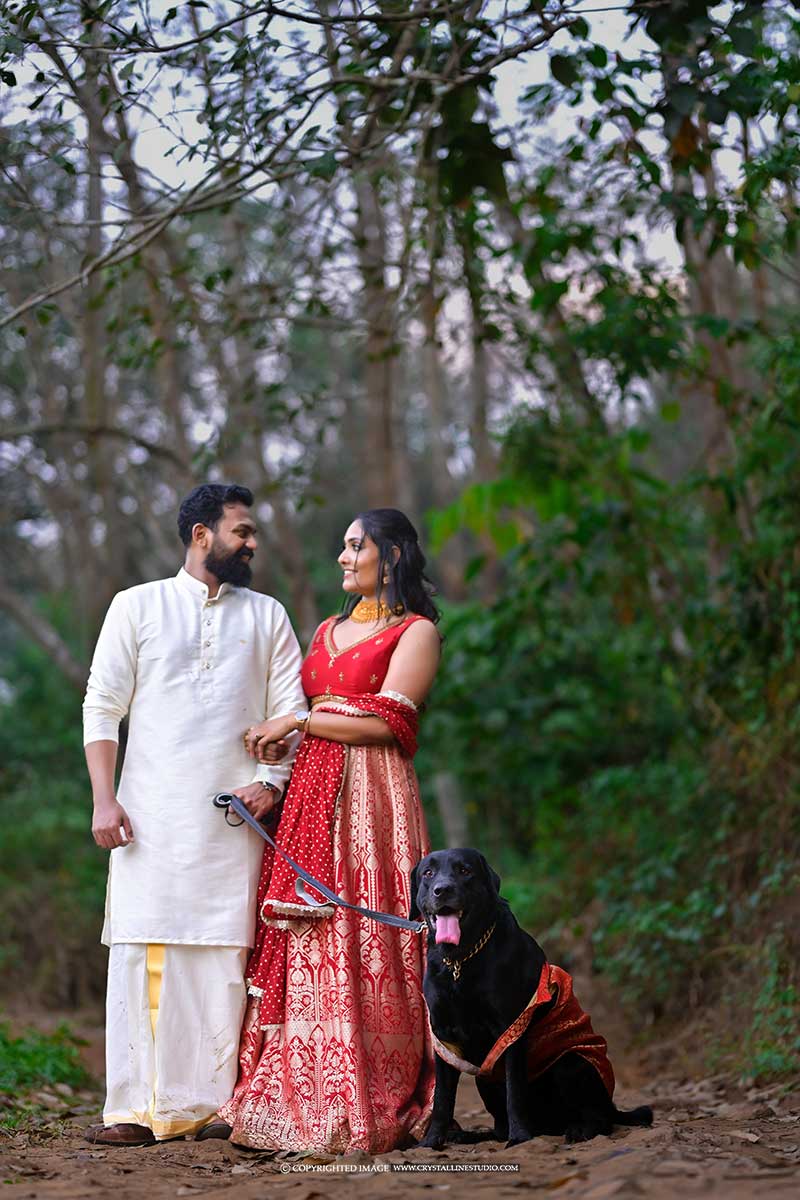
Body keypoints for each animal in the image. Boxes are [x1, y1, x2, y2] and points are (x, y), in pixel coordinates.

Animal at [410, 849, 652, 1147]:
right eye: (428, 873)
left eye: (465, 870)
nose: (442, 889)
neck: (460, 959)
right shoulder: (444, 1036)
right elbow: (443, 1098)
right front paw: (431, 1141)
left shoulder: (511, 1028)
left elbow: (515, 1092)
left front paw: (520, 1137)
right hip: (485, 1079)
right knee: (499, 1126)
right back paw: (470, 1135)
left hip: (571, 1063)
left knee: (600, 1117)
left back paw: (578, 1130)